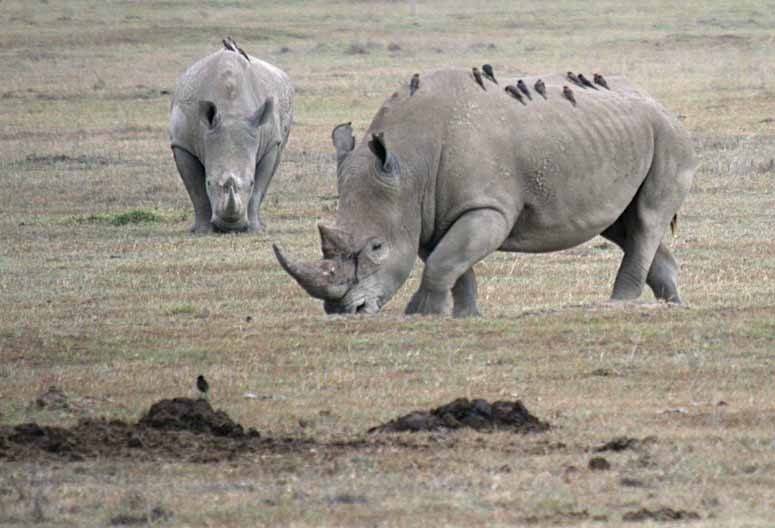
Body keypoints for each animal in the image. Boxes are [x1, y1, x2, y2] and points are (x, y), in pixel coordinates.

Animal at [168, 40, 292, 231]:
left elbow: (259, 188)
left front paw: (254, 229)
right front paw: (203, 230)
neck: (231, 112)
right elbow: (196, 191)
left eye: (250, 183)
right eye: (209, 183)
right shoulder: (183, 144)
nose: (230, 226)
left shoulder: (270, 142)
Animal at [274, 70, 696, 318]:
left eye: (377, 247)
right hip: (625, 138)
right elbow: (450, 262)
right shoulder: (426, 212)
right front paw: (465, 315)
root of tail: (664, 106)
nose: (342, 310)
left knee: (647, 218)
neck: (409, 166)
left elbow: (444, 260)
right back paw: (671, 303)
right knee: (624, 225)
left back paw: (618, 304)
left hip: (669, 137)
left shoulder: (486, 208)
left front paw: (421, 314)